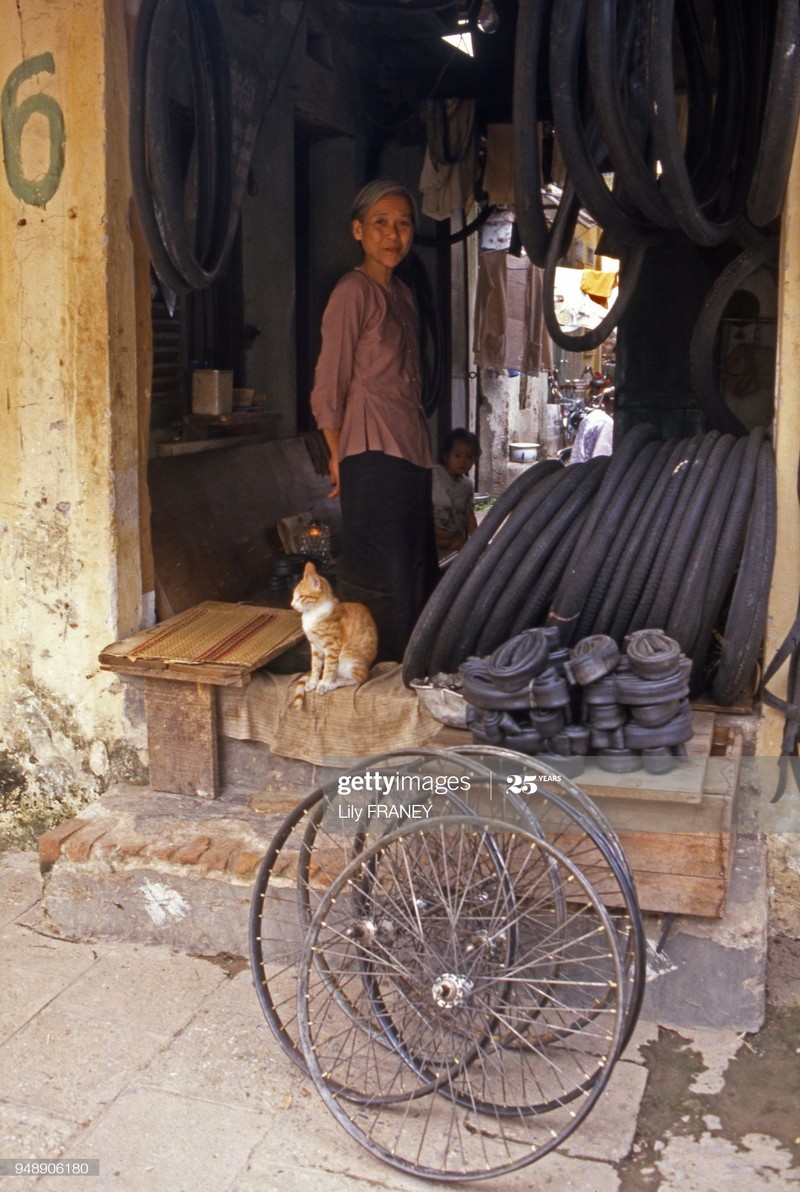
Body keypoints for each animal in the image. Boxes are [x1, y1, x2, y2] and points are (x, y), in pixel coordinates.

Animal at [290, 560, 379, 705]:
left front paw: (323, 684)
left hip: (349, 659)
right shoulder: (315, 648)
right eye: (294, 596)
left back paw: (334, 683)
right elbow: (315, 666)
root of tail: (369, 668)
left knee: (359, 679)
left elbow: (328, 668)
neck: (312, 614)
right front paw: (313, 682)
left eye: (301, 596)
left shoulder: (332, 648)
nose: (292, 605)